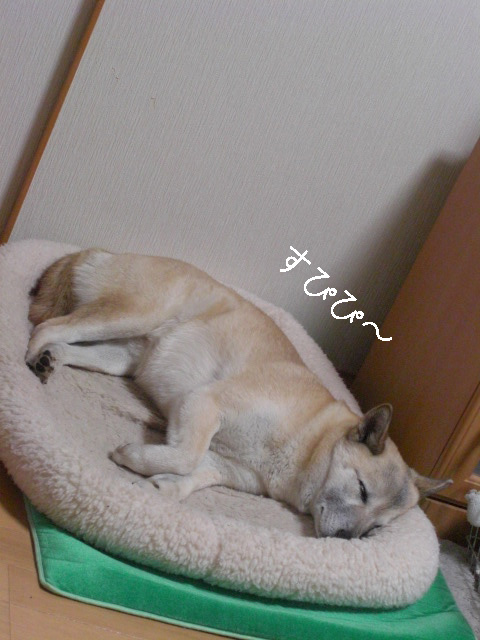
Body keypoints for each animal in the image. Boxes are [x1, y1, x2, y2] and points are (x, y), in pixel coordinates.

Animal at [26, 249, 451, 539]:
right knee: (47, 327)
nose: (349, 539)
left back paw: (49, 361)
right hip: (129, 316)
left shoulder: (228, 467)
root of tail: (105, 251)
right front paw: (133, 456)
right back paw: (27, 358)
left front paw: (161, 482)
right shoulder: (204, 403)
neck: (311, 441)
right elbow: (185, 456)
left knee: (64, 344)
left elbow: (191, 474)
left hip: (120, 358)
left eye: (375, 528)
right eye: (362, 491)